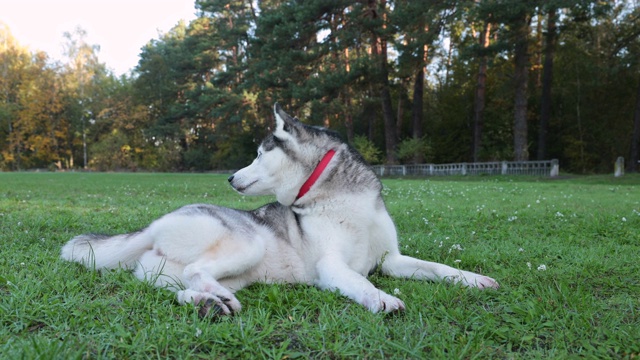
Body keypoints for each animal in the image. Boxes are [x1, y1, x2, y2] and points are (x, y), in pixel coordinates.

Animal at [61, 103, 500, 316]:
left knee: (185, 285)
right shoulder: (331, 266)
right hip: (247, 246)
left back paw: (209, 304)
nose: (230, 177)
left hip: (190, 273)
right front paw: (381, 299)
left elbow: (437, 268)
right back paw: (216, 299)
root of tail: (154, 224)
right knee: (196, 271)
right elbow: (360, 282)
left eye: (258, 154)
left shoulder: (389, 259)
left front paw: (472, 279)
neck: (332, 194)